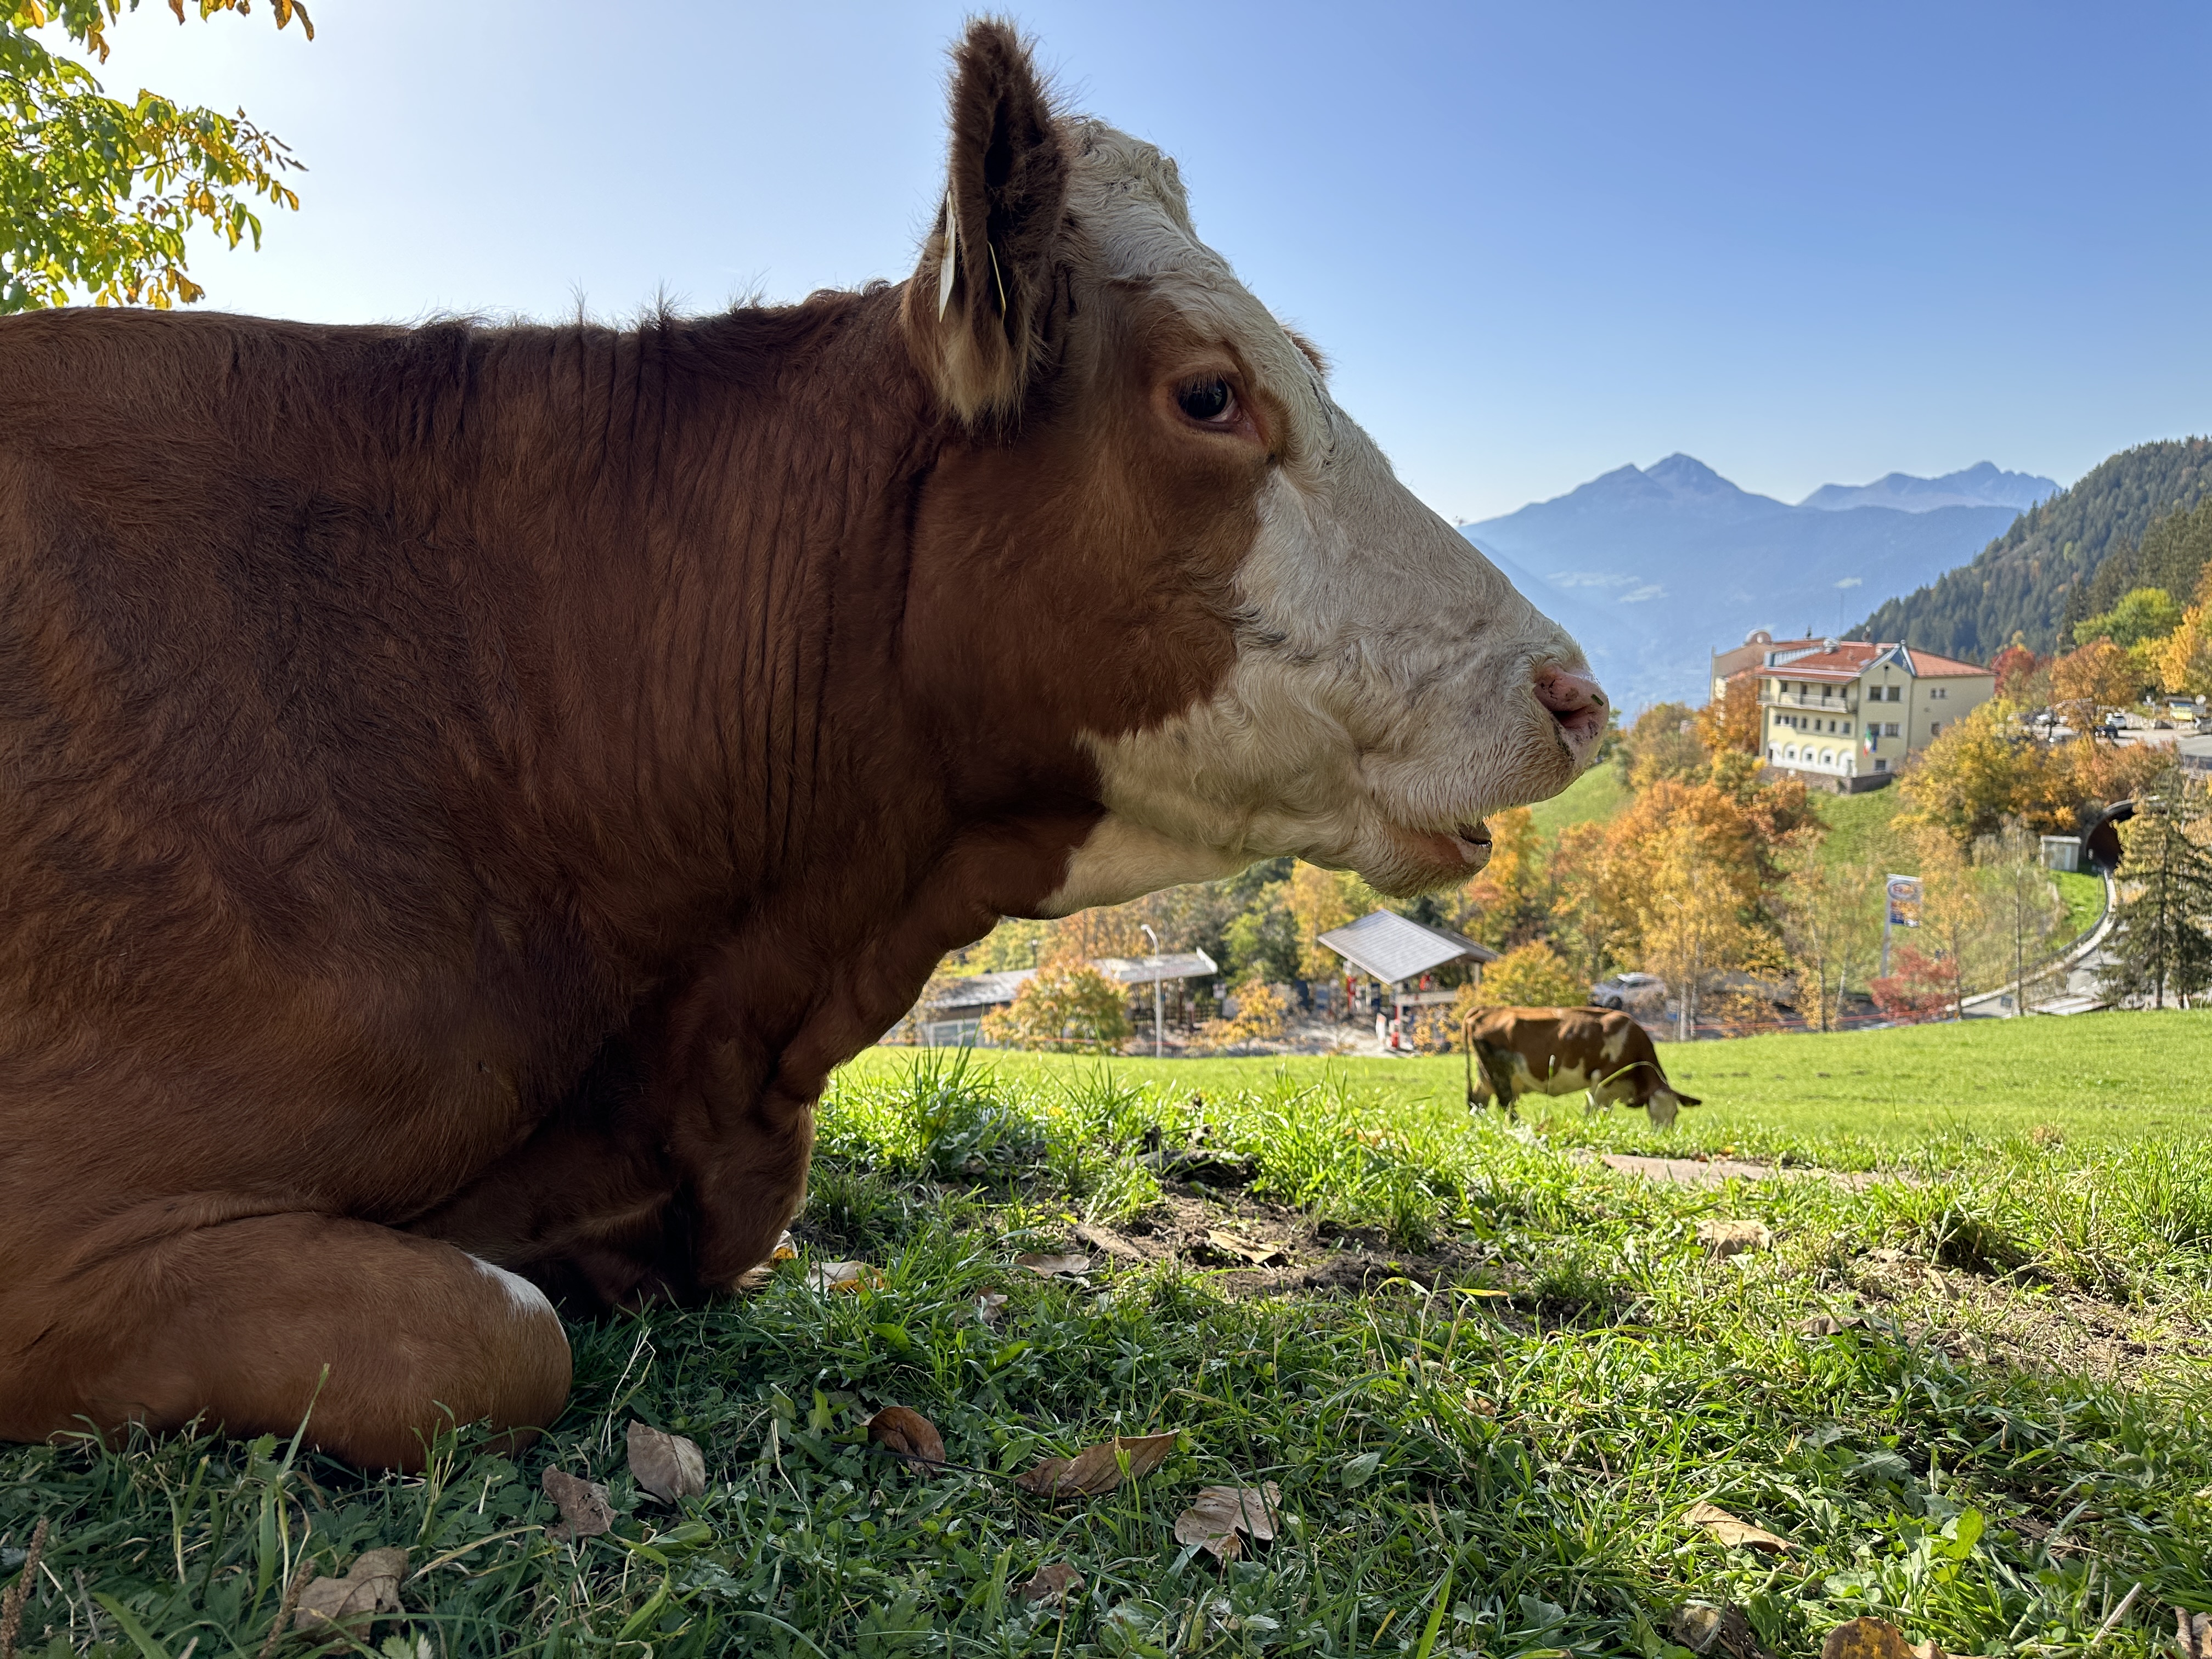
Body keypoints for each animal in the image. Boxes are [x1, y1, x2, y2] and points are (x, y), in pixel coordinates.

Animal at [1463, 1007, 1700, 1126]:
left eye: (1675, 1114)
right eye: (1652, 1112)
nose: (1664, 1134)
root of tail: (1486, 1010)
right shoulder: (1602, 1081)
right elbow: (1595, 1111)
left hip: (1486, 1076)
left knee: (1478, 1103)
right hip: (1500, 1075)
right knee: (1506, 1105)